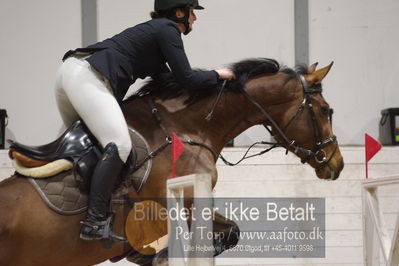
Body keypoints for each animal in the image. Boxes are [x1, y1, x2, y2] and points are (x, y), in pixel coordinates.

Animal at [0, 58, 344, 266]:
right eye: (326, 110)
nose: (337, 164)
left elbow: (231, 231)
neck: (186, 127)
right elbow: (222, 234)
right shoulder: (184, 203)